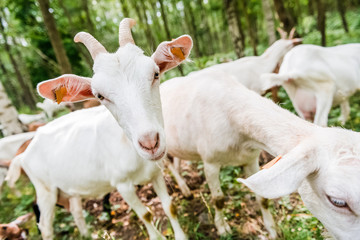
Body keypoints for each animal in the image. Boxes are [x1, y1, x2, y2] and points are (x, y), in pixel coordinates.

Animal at [6, 106, 186, 240]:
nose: (151, 142)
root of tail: (23, 155)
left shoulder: (155, 174)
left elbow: (169, 207)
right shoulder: (123, 185)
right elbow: (145, 214)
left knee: (76, 212)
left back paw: (87, 235)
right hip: (45, 191)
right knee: (45, 226)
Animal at [160, 68, 360, 239]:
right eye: (337, 201)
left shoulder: (251, 159)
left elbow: (262, 199)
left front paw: (272, 230)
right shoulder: (210, 161)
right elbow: (218, 199)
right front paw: (223, 229)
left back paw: (185, 190)